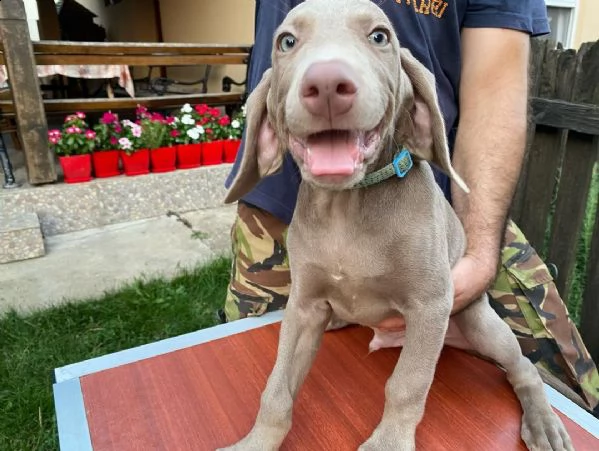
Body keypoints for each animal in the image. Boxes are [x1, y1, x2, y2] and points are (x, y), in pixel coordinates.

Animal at [218, 1, 576, 450]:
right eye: (286, 41)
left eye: (379, 37)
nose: (327, 83)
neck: (347, 206)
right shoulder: (303, 307)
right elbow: (277, 387)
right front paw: (258, 440)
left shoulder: (430, 304)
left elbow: (407, 383)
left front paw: (388, 442)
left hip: (478, 322)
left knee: (523, 366)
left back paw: (543, 423)